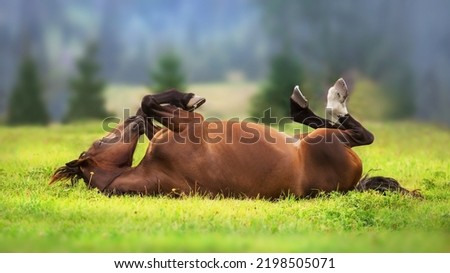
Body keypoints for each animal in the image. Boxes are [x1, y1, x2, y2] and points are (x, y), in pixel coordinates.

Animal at [51, 78, 420, 198]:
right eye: (104, 141)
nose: (133, 124)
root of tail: (350, 186)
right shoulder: (192, 124)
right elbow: (151, 100)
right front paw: (188, 97)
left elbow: (149, 103)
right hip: (322, 142)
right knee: (357, 133)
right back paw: (328, 99)